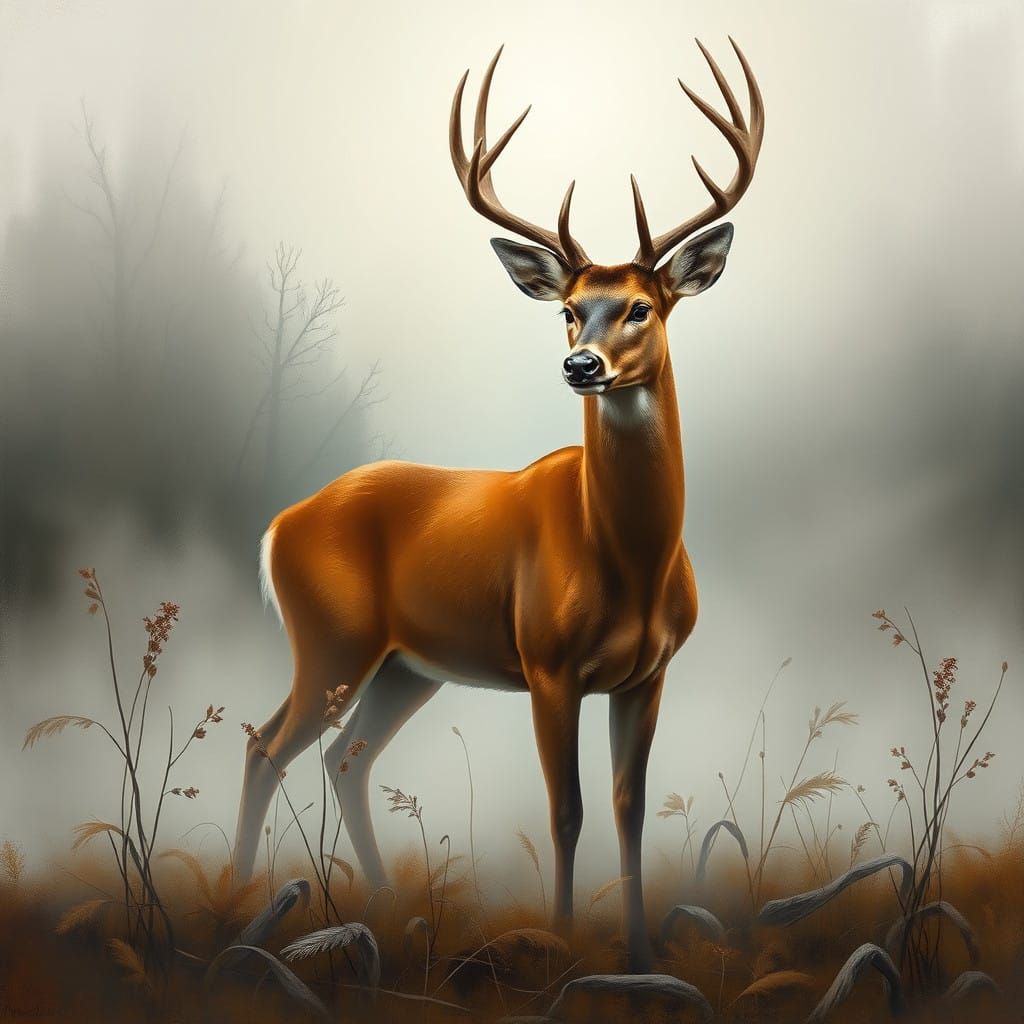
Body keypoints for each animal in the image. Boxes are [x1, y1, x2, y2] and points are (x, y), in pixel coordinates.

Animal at [234, 38, 763, 972]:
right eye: (568, 311)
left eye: (641, 306)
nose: (582, 365)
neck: (627, 557)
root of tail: (279, 524)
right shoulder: (548, 665)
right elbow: (568, 809)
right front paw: (558, 942)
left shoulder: (649, 672)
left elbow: (627, 806)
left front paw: (637, 952)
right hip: (332, 639)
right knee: (268, 748)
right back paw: (233, 903)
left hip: (407, 665)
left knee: (346, 759)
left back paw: (381, 902)